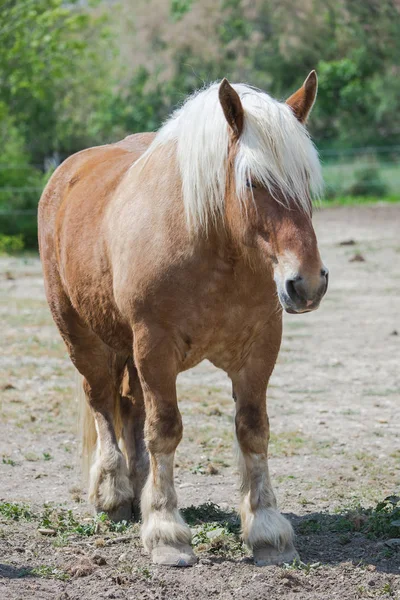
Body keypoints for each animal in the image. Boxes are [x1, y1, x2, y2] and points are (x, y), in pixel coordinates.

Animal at [38, 70, 328, 568]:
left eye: (306, 180)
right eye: (252, 181)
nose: (306, 283)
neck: (212, 245)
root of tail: (65, 173)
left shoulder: (260, 348)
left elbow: (253, 431)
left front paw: (267, 530)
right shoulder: (156, 348)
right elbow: (165, 431)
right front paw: (166, 532)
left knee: (129, 407)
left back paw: (137, 487)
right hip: (83, 338)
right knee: (101, 400)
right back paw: (113, 494)